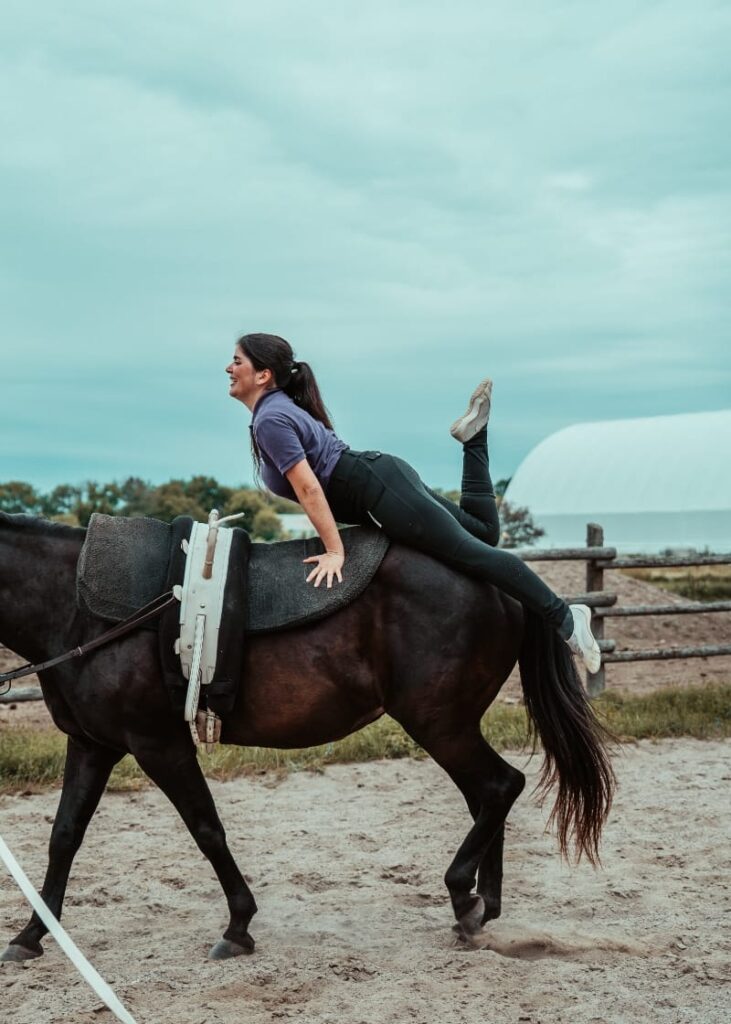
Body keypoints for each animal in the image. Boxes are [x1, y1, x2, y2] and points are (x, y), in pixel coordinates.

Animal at [0, 516, 610, 962]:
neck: (78, 612)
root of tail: (504, 585)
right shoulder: (92, 744)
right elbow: (64, 836)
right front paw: (31, 936)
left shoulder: (158, 744)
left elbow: (207, 830)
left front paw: (239, 926)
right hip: (451, 728)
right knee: (487, 796)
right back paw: (482, 910)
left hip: (440, 724)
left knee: (500, 786)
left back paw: (464, 894)